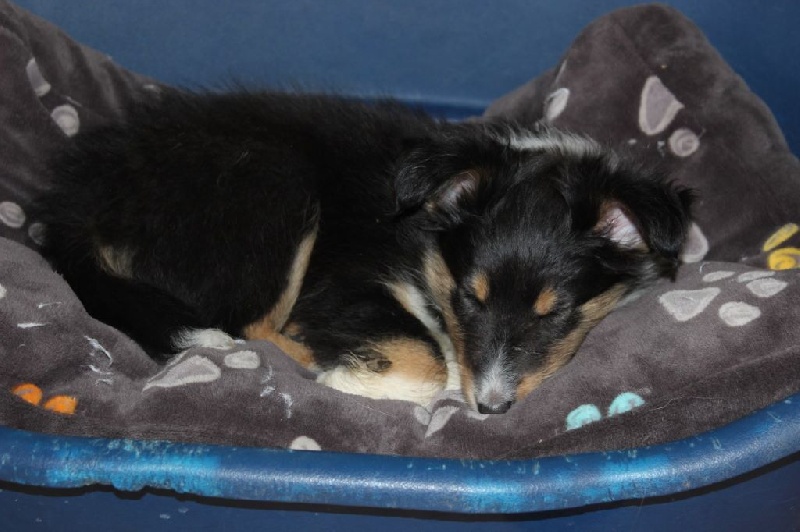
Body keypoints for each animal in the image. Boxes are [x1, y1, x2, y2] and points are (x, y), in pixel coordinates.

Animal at [36, 90, 693, 414]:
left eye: (555, 314)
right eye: (467, 298)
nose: (492, 408)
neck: (423, 234)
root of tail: (77, 202)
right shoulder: (344, 281)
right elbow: (426, 358)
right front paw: (362, 377)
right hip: (273, 190)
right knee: (245, 327)